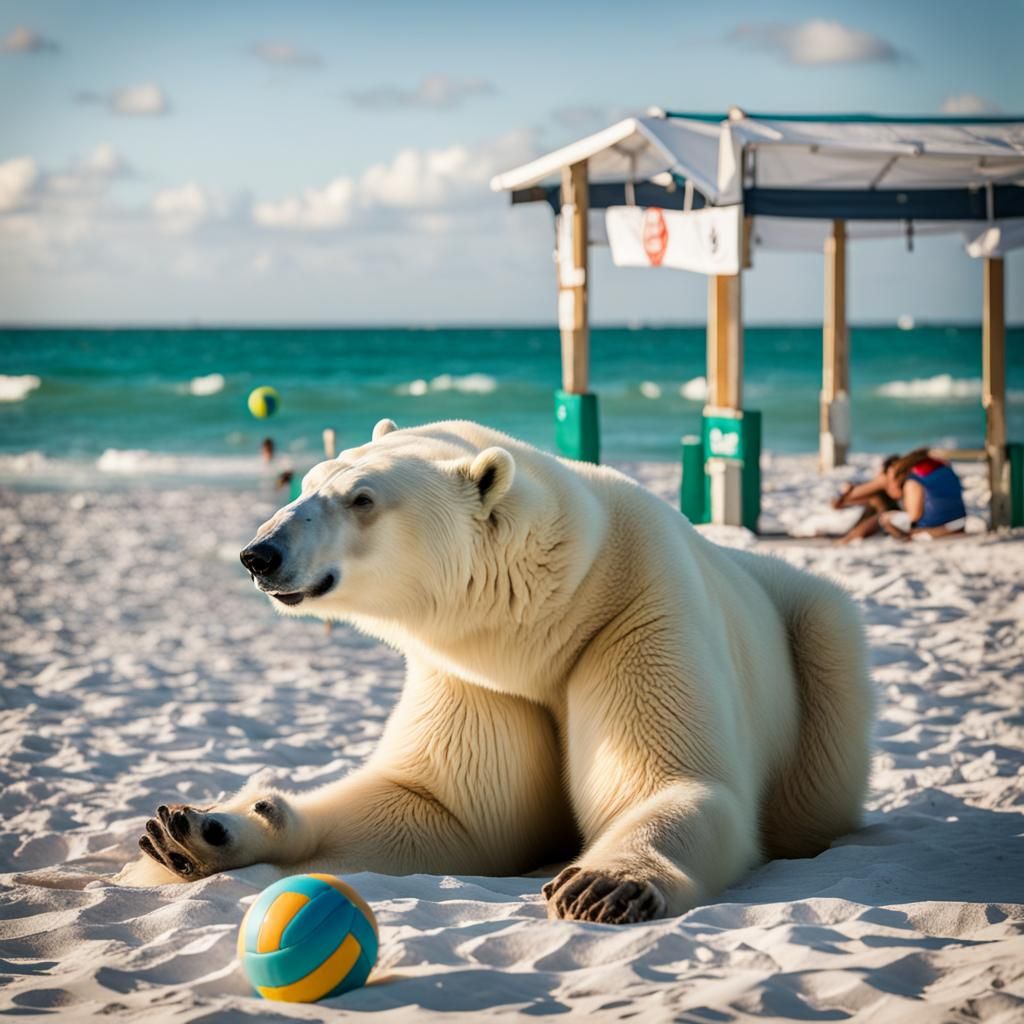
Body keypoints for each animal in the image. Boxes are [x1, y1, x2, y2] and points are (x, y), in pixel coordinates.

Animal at [129, 418, 873, 924]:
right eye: (308, 482)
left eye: (362, 499)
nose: (260, 553)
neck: (553, 615)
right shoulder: (478, 680)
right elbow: (442, 809)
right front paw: (198, 830)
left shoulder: (635, 619)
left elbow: (673, 781)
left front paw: (605, 884)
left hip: (812, 635)